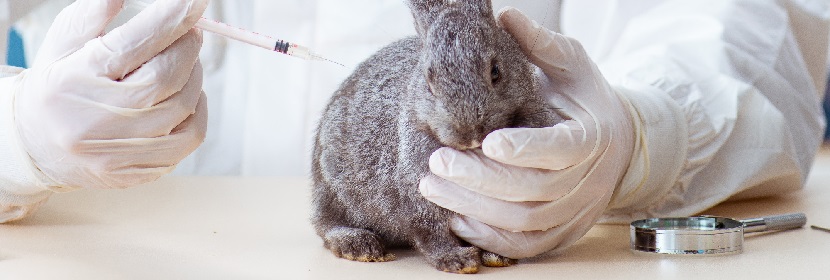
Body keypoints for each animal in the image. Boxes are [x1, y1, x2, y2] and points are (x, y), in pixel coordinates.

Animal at [312, 0, 564, 272]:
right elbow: (431, 234)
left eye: (495, 71)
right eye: (429, 81)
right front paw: (457, 260)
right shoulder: (419, 199)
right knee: (326, 224)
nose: (469, 133)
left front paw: (497, 255)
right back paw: (359, 244)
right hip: (331, 189)